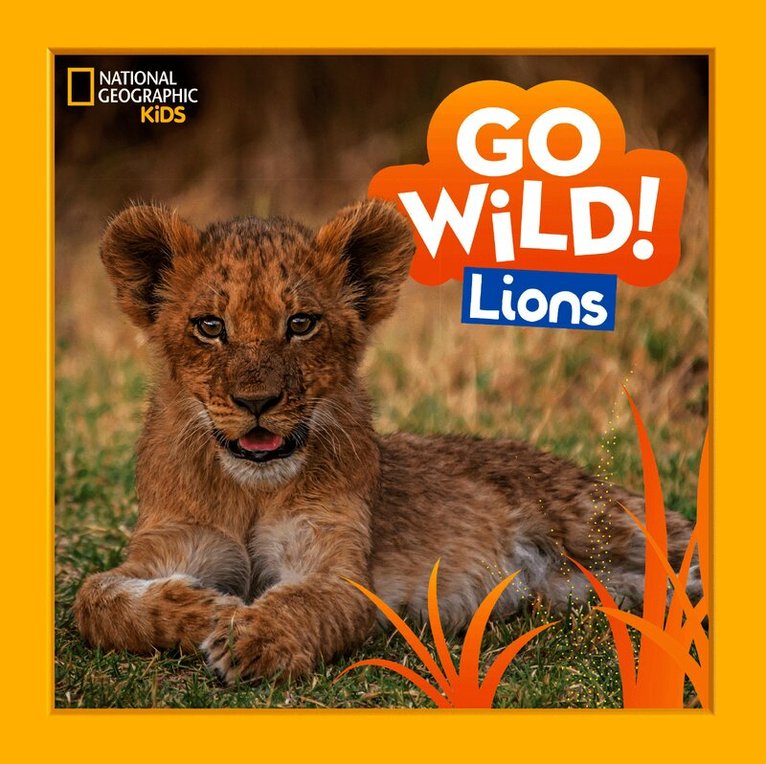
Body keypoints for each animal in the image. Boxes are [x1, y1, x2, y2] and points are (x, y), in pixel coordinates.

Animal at [73, 200, 696, 683]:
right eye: (209, 326)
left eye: (301, 323)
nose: (257, 402)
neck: (251, 490)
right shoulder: (168, 545)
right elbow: (95, 600)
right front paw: (209, 611)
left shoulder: (341, 571)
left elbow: (303, 602)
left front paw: (251, 639)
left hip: (600, 519)